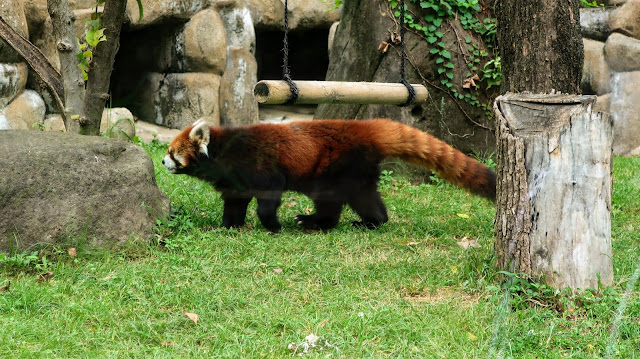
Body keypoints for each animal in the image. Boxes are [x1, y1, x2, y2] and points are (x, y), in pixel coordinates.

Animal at [164, 119, 496, 233]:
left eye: (171, 151)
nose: (163, 161)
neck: (223, 151)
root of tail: (364, 127)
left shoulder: (260, 166)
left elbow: (269, 197)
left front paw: (273, 226)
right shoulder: (235, 181)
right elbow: (234, 202)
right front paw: (227, 227)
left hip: (335, 167)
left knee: (330, 201)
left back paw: (313, 222)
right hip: (358, 171)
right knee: (366, 197)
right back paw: (372, 222)